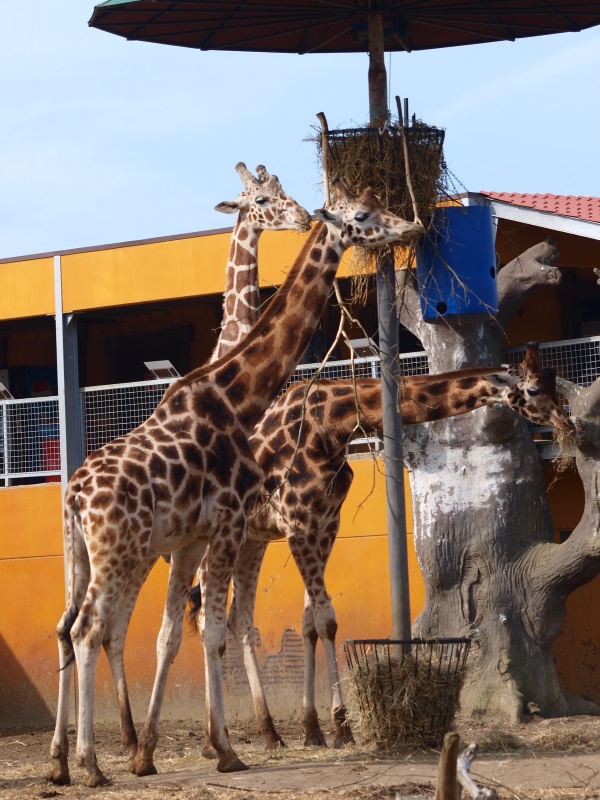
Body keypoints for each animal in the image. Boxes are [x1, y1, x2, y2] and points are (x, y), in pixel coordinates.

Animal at [46, 178, 424, 787]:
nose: (412, 225)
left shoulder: (193, 539)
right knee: (90, 630)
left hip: (86, 555)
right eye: (364, 215)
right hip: (122, 551)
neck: (233, 397)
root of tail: (76, 496)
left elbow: (175, 633)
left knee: (73, 627)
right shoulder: (224, 525)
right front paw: (224, 748)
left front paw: (150, 752)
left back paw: (63, 762)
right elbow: (216, 630)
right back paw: (91, 763)